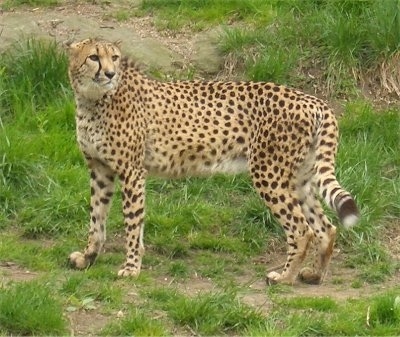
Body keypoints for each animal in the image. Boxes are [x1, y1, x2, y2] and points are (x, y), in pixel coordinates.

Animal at [66, 38, 360, 284]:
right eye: (94, 57)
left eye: (114, 57)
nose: (109, 74)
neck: (93, 100)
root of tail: (313, 100)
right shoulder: (100, 170)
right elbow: (97, 218)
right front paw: (88, 257)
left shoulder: (132, 171)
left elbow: (132, 222)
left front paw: (131, 267)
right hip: (298, 178)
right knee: (326, 227)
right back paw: (314, 275)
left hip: (269, 173)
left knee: (301, 229)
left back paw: (284, 277)